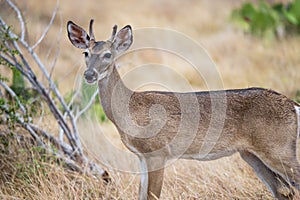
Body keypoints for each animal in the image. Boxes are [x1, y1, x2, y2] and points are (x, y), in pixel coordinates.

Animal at [67, 19, 300, 200]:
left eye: (108, 54)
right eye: (86, 53)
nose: (89, 74)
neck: (129, 111)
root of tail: (293, 105)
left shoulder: (158, 151)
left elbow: (152, 195)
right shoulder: (142, 156)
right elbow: (141, 194)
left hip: (278, 148)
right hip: (251, 154)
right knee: (283, 191)